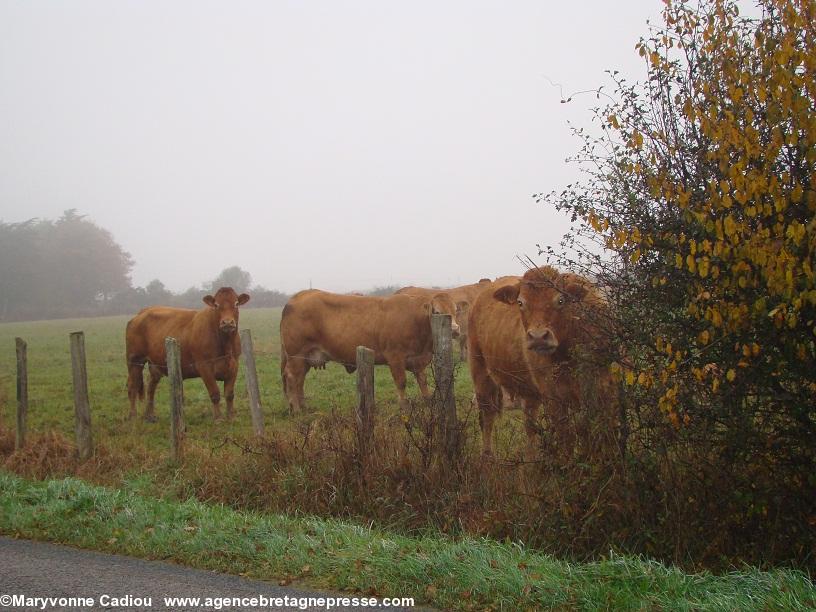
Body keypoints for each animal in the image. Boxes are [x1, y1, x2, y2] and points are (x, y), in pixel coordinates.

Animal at [125, 286, 249, 420]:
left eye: (236, 304)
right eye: (216, 305)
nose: (227, 323)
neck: (225, 345)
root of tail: (142, 313)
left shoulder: (234, 365)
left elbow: (229, 394)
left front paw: (231, 417)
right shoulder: (204, 366)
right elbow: (215, 393)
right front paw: (218, 418)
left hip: (155, 364)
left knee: (150, 387)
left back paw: (150, 415)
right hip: (134, 360)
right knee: (133, 386)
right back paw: (132, 415)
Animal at [280, 290, 460, 414]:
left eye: (455, 311)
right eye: (437, 311)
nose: (455, 330)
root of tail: (298, 296)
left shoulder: (418, 360)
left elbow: (423, 381)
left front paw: (428, 401)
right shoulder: (395, 357)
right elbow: (401, 382)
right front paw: (404, 406)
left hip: (305, 357)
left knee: (300, 380)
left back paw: (303, 406)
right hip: (296, 355)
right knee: (292, 378)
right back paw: (296, 409)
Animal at [466, 268, 612, 454]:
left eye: (560, 300)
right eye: (520, 302)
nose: (538, 337)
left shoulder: (603, 391)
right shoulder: (553, 398)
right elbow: (567, 438)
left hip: (529, 394)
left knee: (530, 425)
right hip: (480, 374)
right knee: (487, 417)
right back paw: (487, 456)